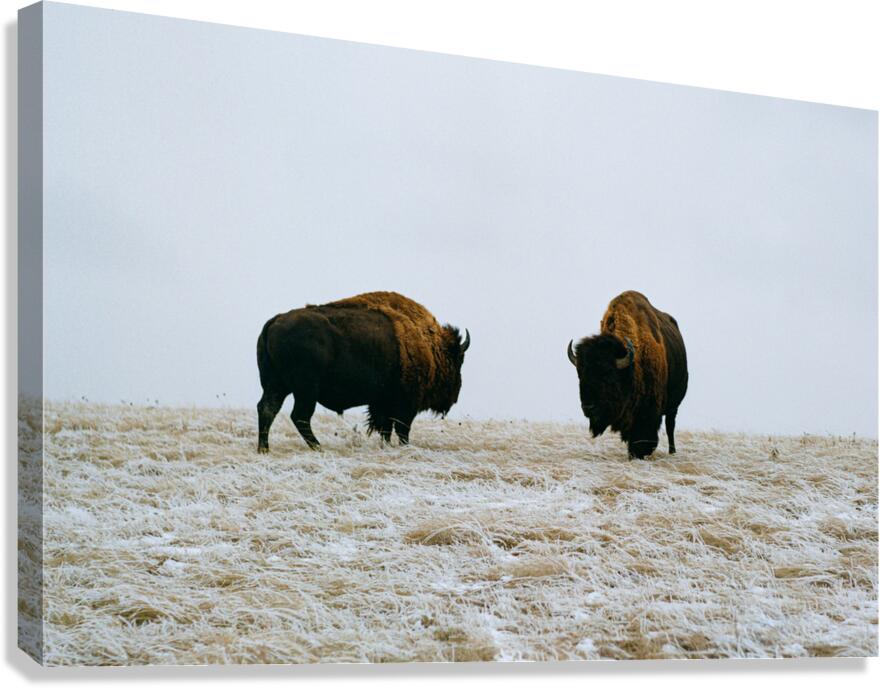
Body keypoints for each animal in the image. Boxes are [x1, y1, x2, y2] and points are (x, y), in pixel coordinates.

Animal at [257, 291, 469, 451]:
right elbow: (401, 429)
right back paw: (318, 447)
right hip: (305, 390)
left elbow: (386, 429)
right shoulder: (405, 404)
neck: (431, 345)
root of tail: (274, 321)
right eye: (458, 360)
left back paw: (264, 448)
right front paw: (404, 446)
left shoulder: (382, 403)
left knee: (267, 409)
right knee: (299, 416)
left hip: (276, 385)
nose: (455, 396)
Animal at [567, 291, 688, 459]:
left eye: (608, 375)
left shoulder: (647, 413)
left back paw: (672, 452)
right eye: (580, 374)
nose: (588, 407)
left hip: (674, 405)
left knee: (671, 426)